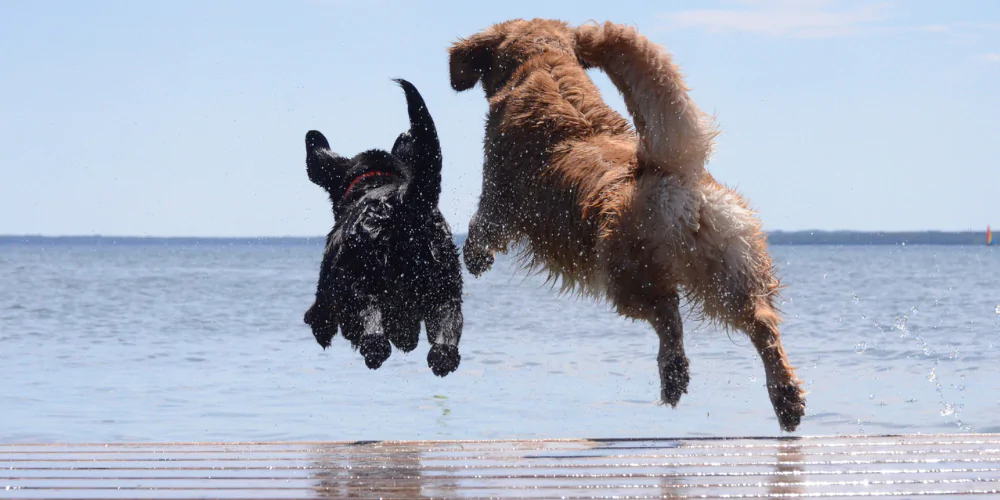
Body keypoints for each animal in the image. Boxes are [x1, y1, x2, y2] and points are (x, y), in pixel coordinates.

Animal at [302, 79, 462, 376]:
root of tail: (403, 203)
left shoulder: (328, 286)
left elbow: (321, 314)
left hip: (361, 279)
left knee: (373, 332)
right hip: (445, 284)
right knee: (445, 338)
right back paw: (439, 354)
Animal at [450, 19, 808, 432]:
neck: (544, 64)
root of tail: (668, 171)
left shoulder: (499, 195)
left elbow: (482, 226)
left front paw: (476, 258)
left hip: (625, 275)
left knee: (668, 315)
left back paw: (674, 375)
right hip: (729, 266)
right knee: (762, 323)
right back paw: (786, 397)